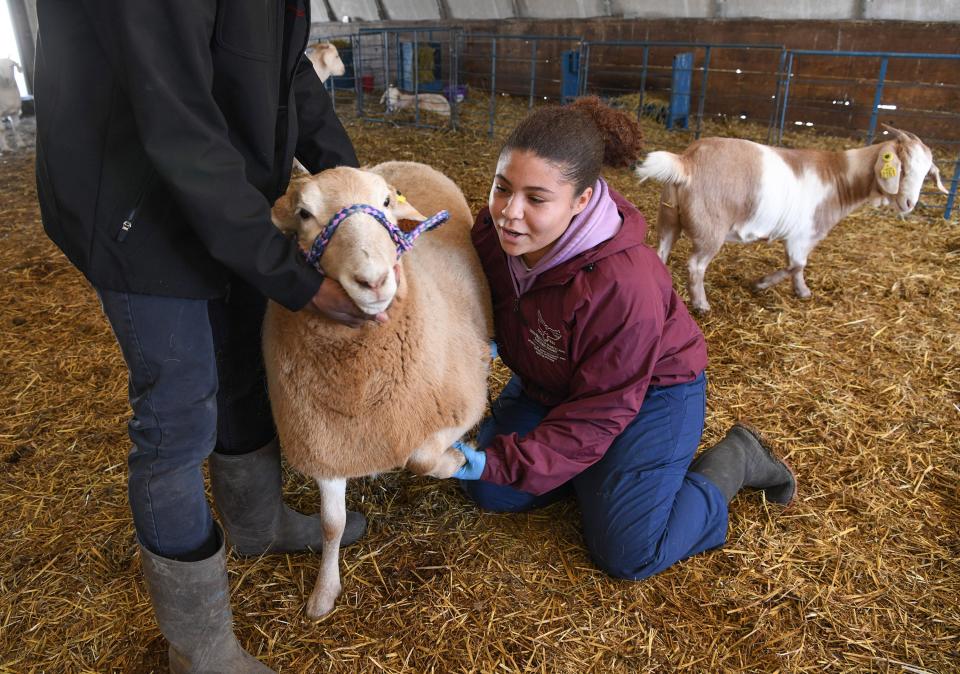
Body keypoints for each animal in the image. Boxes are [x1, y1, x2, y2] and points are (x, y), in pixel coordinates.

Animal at [262, 160, 492, 616]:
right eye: (304, 214)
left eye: (385, 202)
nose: (374, 280)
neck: (362, 386)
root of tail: (408, 161)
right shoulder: (325, 441)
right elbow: (331, 525)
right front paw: (324, 593)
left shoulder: (464, 402)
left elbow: (421, 458)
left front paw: (458, 460)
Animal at [632, 123, 948, 312]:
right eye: (903, 166)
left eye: (926, 173)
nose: (909, 204)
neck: (838, 177)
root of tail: (687, 162)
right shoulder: (803, 235)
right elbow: (797, 265)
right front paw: (766, 285)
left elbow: (796, 266)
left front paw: (798, 291)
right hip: (710, 229)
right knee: (696, 265)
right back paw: (701, 305)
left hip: (668, 218)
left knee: (660, 253)